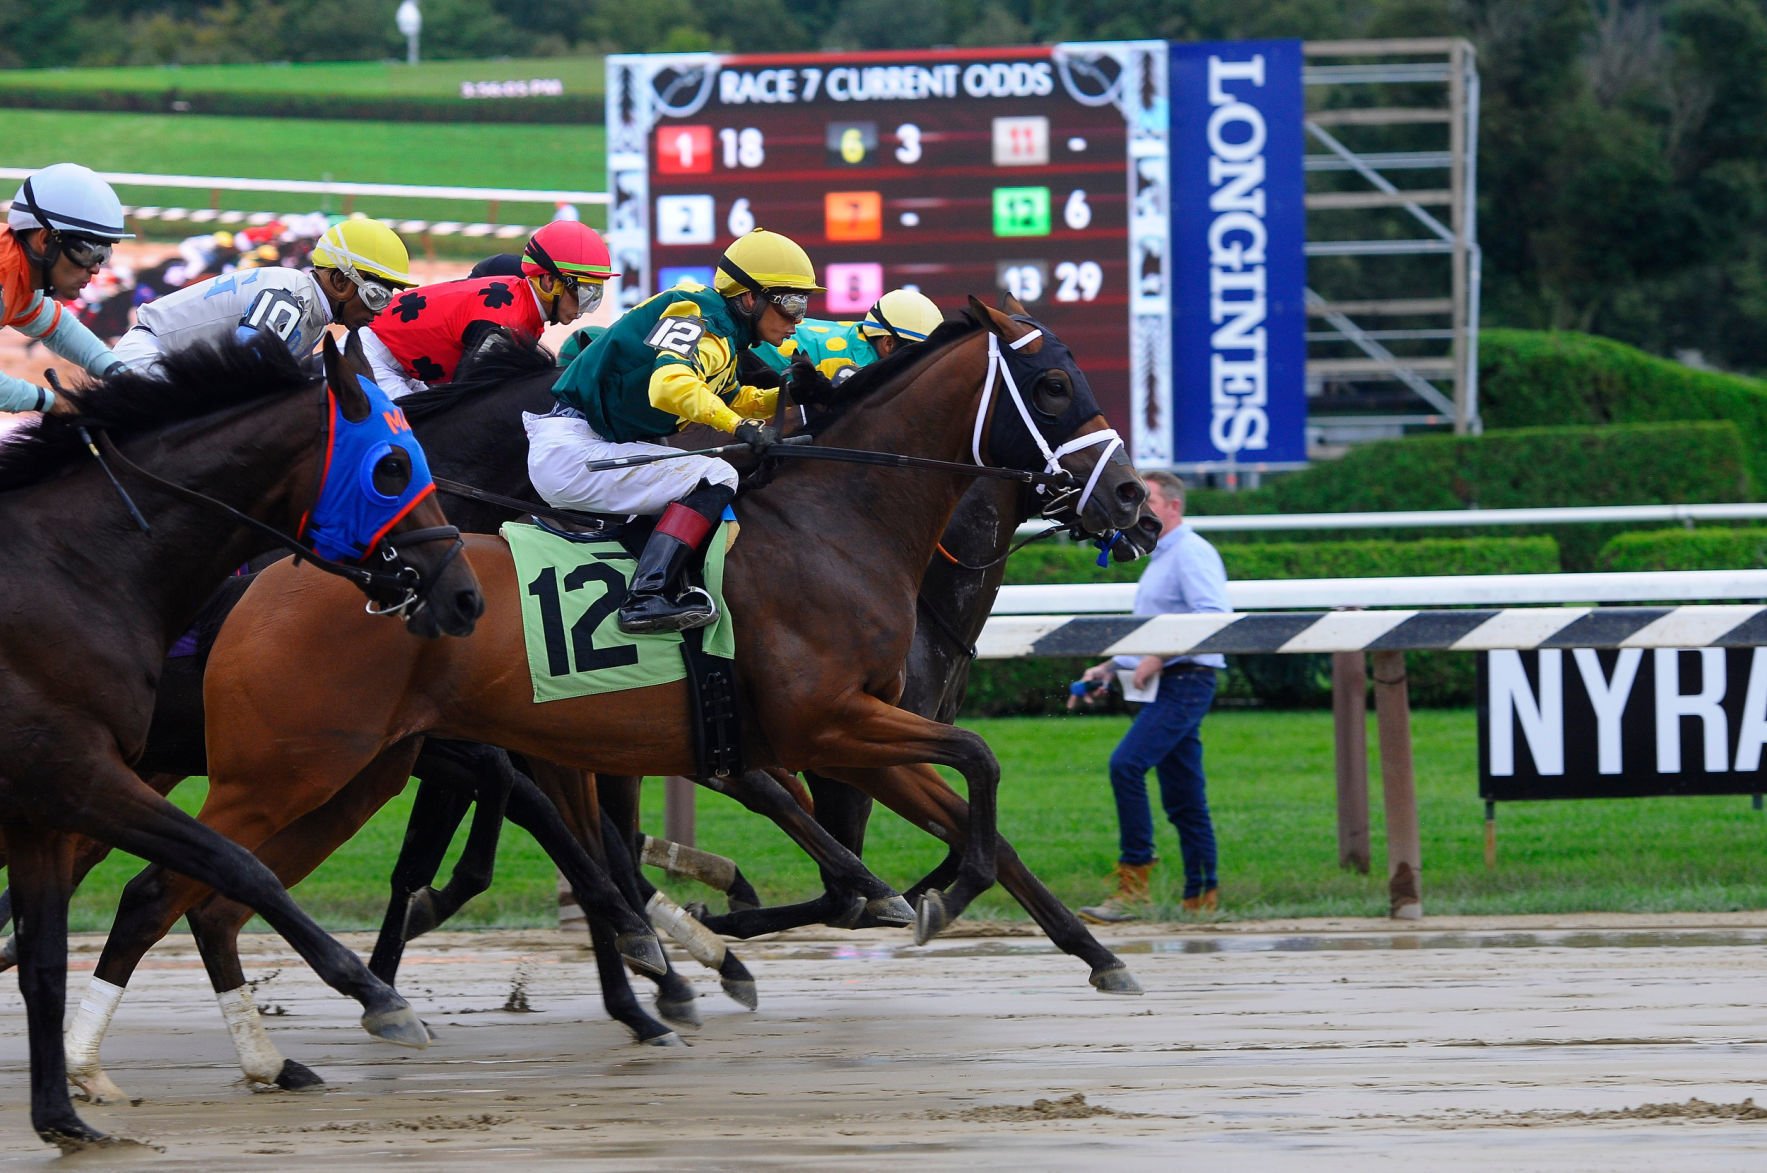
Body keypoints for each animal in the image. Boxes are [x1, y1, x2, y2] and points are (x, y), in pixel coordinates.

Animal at [0, 332, 484, 1151]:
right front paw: (376, 993)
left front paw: (61, 1116)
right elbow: (236, 866)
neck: (77, 566)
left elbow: (45, 960)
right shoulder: (75, 773)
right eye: (392, 465)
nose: (465, 594)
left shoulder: (42, 803)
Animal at [65, 298, 1130, 1095]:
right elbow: (967, 772)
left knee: (211, 891)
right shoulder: (823, 724)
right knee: (173, 880)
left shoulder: (851, 728)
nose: (1128, 496)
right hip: (287, 766)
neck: (833, 525)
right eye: (1051, 383)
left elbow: (970, 808)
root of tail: (278, 574)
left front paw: (1079, 947)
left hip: (345, 774)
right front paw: (885, 901)